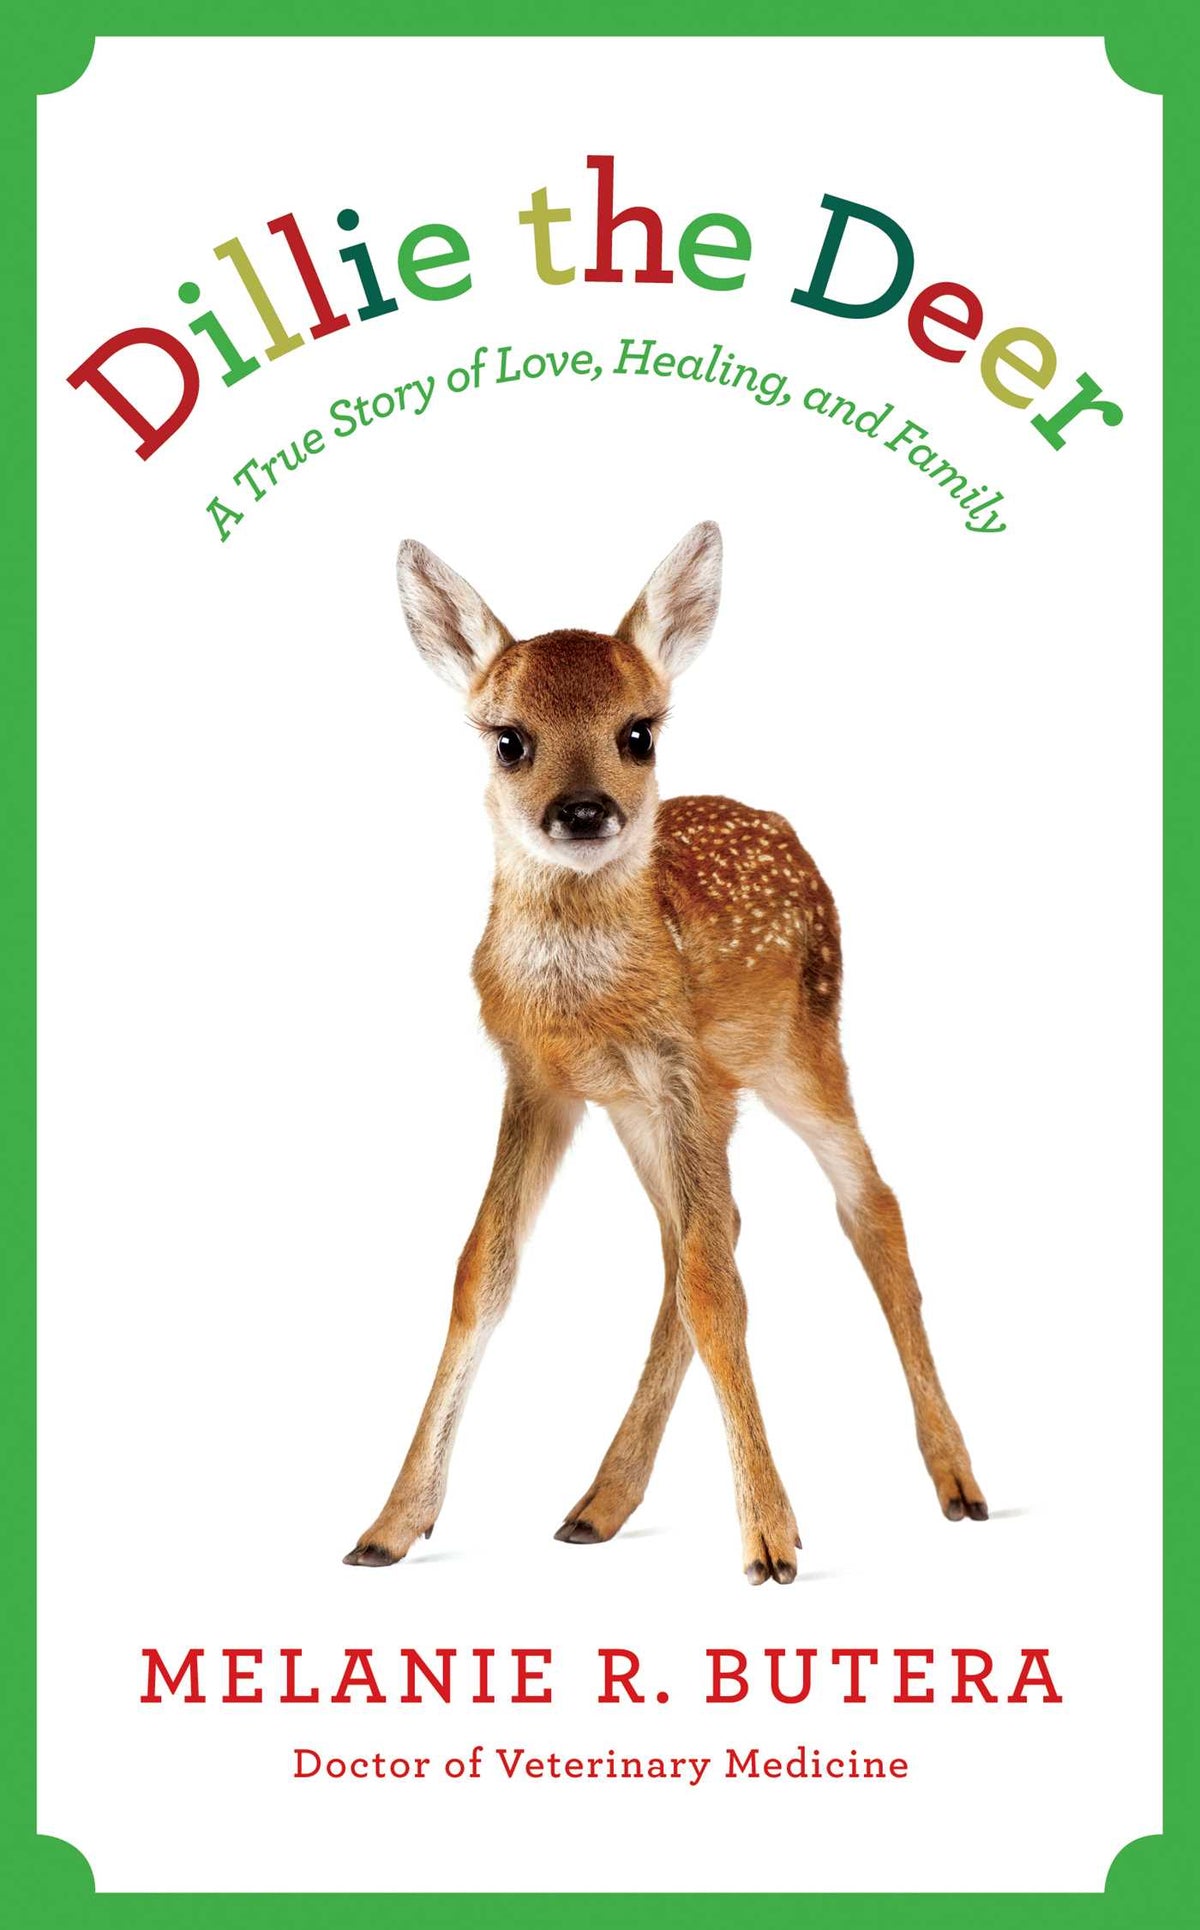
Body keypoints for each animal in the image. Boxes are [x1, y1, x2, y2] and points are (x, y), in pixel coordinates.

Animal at [344, 522, 987, 1584]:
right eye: (508, 739)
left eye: (639, 733)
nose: (584, 810)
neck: (587, 1004)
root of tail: (781, 824)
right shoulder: (543, 1083)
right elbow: (486, 1271)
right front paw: (390, 1525)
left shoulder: (681, 1069)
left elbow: (713, 1286)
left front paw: (768, 1541)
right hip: (659, 1112)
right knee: (699, 1239)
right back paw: (598, 1505)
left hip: (800, 1049)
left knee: (866, 1208)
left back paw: (958, 1483)